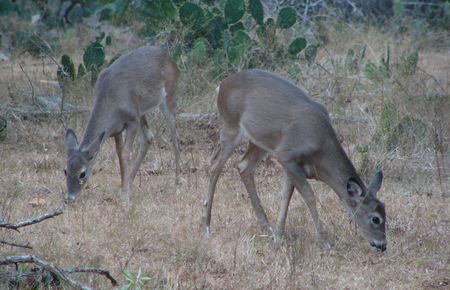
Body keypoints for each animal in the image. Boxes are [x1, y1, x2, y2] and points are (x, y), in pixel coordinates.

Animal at [62, 46, 181, 204]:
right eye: (65, 170)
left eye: (83, 173)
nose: (69, 198)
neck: (111, 103)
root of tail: (169, 56)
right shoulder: (116, 130)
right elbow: (119, 153)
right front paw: (123, 187)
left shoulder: (132, 121)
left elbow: (125, 153)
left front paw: (124, 196)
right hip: (141, 111)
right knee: (149, 137)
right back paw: (130, 181)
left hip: (169, 96)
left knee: (174, 138)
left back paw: (177, 183)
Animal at [200, 69, 386, 250]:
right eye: (375, 218)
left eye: (385, 211)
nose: (383, 245)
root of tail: (221, 85)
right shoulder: (287, 156)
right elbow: (309, 196)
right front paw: (324, 242)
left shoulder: (293, 165)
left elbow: (286, 197)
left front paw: (277, 237)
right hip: (230, 125)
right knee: (215, 165)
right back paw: (206, 225)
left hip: (259, 140)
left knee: (243, 165)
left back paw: (266, 227)